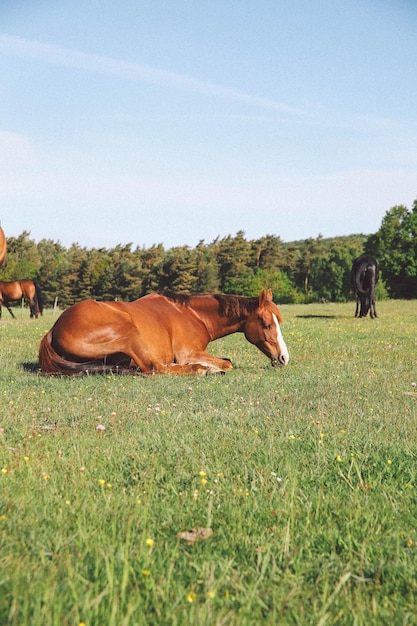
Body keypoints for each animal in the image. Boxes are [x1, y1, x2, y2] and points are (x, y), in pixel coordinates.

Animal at [39, 288, 290, 376]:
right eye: (267, 324)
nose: (283, 358)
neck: (192, 314)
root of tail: (53, 330)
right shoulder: (189, 353)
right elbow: (227, 363)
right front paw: (210, 367)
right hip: (129, 333)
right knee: (155, 368)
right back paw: (202, 370)